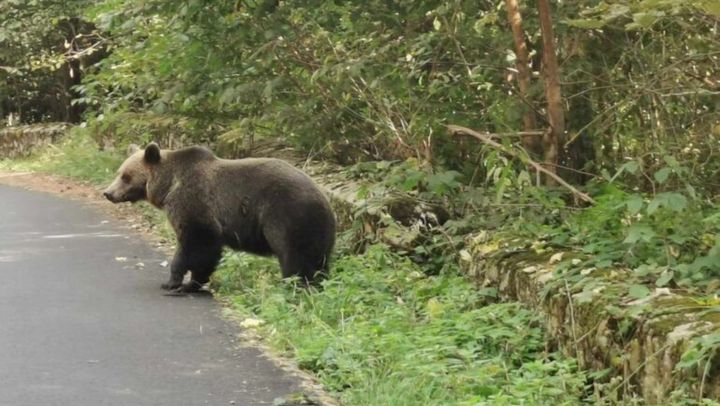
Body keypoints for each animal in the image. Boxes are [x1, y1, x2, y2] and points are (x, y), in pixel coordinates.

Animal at [102, 143, 338, 292]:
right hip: (318, 231)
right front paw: (193, 282)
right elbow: (207, 252)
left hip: (288, 216)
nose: (108, 193)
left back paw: (296, 286)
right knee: (318, 260)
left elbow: (196, 242)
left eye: (126, 176)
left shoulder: (195, 203)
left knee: (295, 258)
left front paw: (174, 282)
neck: (169, 186)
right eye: (119, 172)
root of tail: (325, 200)